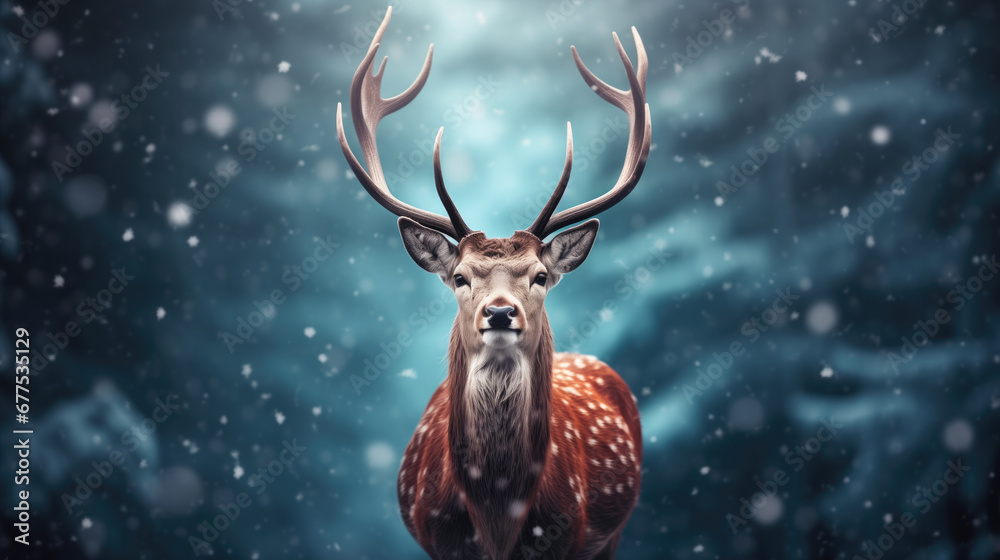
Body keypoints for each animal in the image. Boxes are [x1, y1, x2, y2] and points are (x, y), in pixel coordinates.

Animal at [336, 7, 650, 559]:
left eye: (541, 276)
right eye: (459, 277)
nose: (500, 312)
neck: (498, 517)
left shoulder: (571, 536)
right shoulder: (437, 541)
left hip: (612, 534)